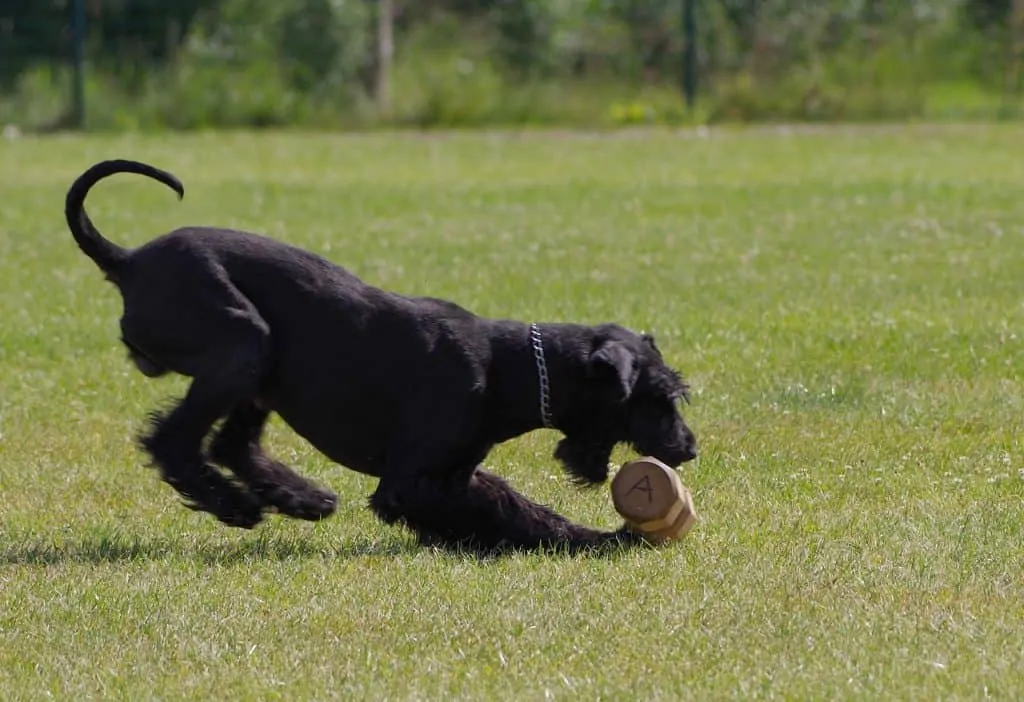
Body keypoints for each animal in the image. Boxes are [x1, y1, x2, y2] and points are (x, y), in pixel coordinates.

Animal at [66, 160, 696, 556]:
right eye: (660, 398)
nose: (688, 449)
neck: (509, 368)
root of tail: (129, 260)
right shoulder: (412, 482)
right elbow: (500, 515)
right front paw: (593, 542)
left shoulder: (457, 471)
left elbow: (515, 506)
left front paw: (598, 538)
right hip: (243, 345)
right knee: (172, 440)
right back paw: (234, 504)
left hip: (259, 372)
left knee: (230, 443)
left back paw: (301, 497)